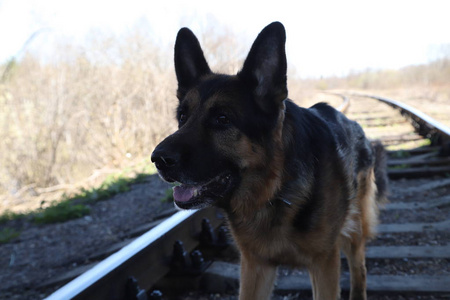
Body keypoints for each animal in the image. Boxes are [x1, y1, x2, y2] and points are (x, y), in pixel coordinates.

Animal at [153, 22, 388, 298]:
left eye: (222, 119)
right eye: (182, 117)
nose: (158, 159)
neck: (274, 190)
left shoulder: (324, 264)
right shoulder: (255, 267)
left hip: (353, 231)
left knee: (359, 269)